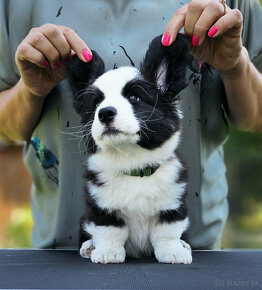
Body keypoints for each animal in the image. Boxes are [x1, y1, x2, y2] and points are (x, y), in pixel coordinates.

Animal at [67, 33, 192, 262]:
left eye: (134, 98)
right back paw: (89, 246)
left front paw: (173, 252)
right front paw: (107, 253)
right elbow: (110, 231)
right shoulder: (101, 207)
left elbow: (167, 232)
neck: (133, 163)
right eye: (96, 104)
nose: (105, 113)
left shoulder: (172, 204)